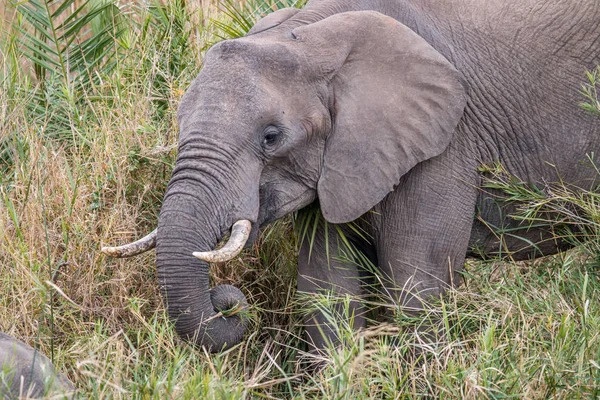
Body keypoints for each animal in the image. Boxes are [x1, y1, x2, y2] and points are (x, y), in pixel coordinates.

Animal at [102, 0, 600, 354]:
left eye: (271, 137)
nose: (228, 302)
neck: (311, 36)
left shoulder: (445, 141)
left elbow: (416, 278)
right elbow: (327, 286)